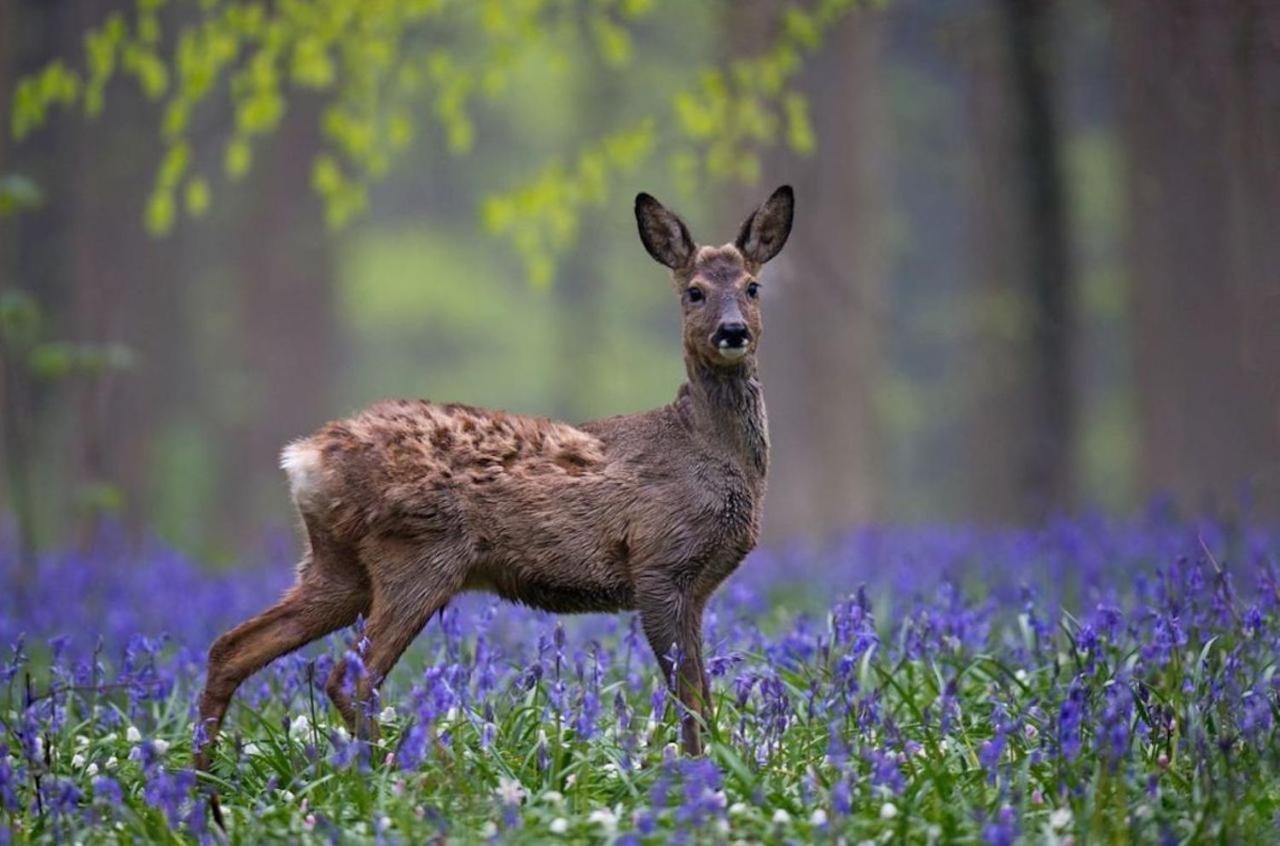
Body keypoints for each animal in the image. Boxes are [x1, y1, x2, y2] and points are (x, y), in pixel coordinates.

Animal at [194, 183, 793, 778]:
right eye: (694, 292)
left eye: (753, 286)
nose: (733, 331)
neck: (705, 447)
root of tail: (306, 459)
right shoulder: (659, 563)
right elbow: (687, 695)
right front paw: (702, 773)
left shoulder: (697, 588)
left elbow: (702, 696)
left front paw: (713, 770)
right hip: (417, 554)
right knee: (350, 678)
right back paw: (420, 772)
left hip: (338, 567)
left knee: (231, 647)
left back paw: (205, 785)